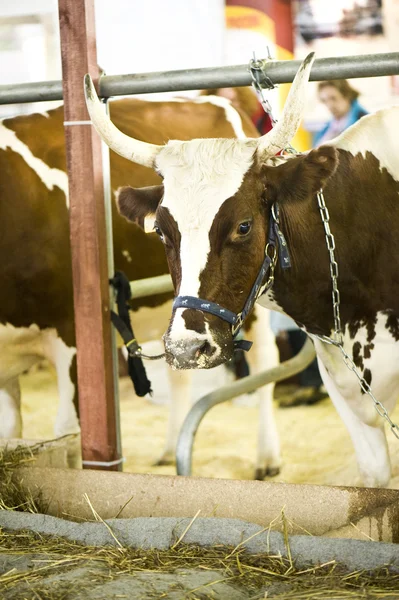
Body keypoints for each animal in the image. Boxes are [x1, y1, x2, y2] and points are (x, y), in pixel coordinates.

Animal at [0, 92, 282, 478]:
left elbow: (68, 435)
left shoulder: (71, 336)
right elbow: (12, 432)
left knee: (266, 360)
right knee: (180, 371)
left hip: (248, 302)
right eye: (159, 230)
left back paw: (267, 457)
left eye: (241, 225)